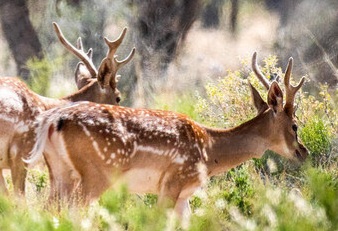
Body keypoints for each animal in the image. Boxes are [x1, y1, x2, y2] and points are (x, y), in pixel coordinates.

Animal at [25, 52, 306, 218]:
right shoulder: (173, 182)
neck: (210, 150)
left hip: (60, 172)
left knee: (46, 209)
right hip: (97, 172)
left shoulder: (183, 195)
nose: (303, 151)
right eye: (295, 125)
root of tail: (53, 121)